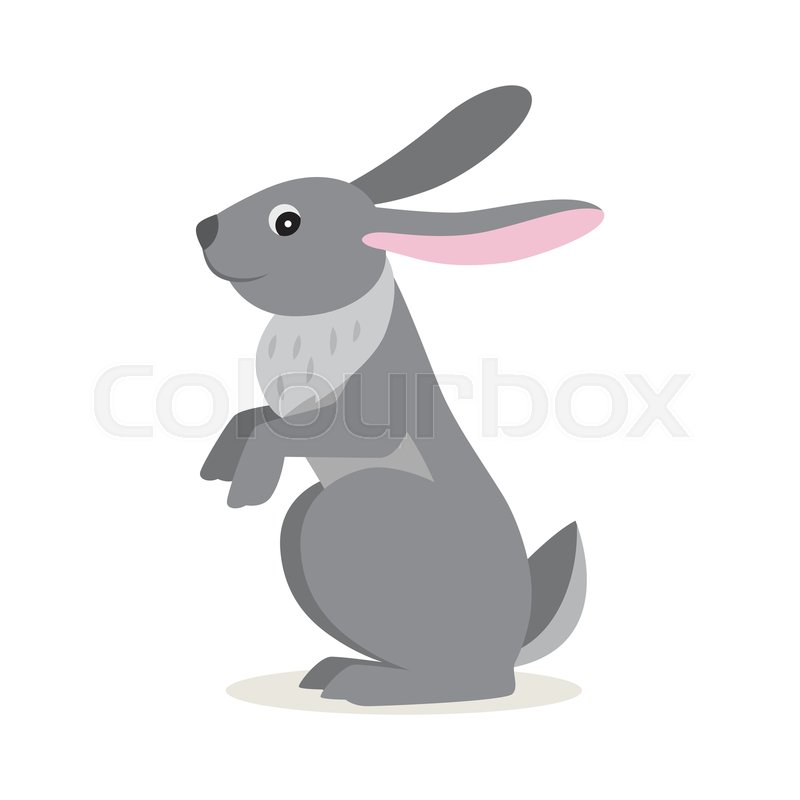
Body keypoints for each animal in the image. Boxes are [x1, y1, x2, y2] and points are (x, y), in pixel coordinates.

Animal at [196, 86, 602, 706]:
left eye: (287, 222)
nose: (203, 228)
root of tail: (511, 648)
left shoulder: (366, 418)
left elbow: (288, 431)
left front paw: (249, 489)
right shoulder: (281, 404)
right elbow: (251, 414)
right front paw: (218, 464)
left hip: (353, 512)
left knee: (472, 683)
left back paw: (367, 686)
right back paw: (332, 671)